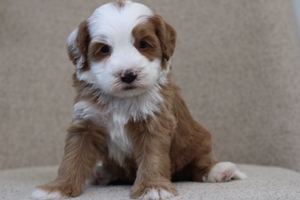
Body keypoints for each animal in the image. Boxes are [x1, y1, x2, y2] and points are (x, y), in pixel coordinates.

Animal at [31, 0, 246, 199]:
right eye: (104, 49)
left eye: (143, 44)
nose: (128, 75)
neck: (121, 100)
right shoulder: (85, 125)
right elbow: (73, 158)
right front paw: (57, 188)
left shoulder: (154, 122)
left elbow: (153, 157)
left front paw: (153, 187)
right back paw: (102, 173)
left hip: (198, 139)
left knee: (198, 164)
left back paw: (220, 171)